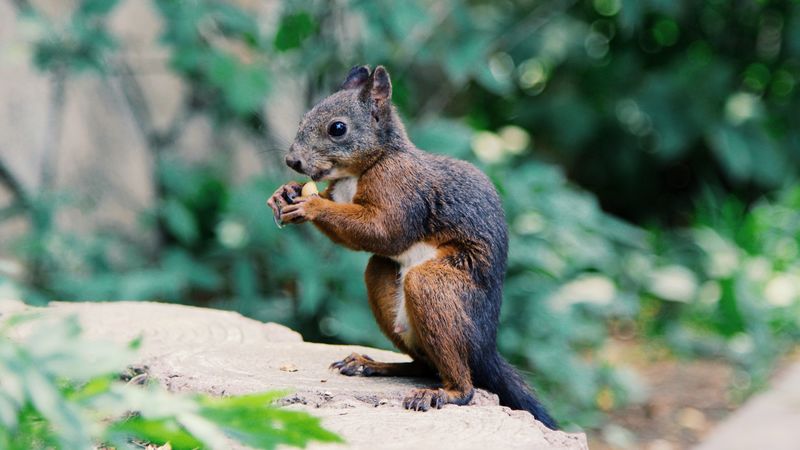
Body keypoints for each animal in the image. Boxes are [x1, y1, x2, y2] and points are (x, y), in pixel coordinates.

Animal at [267, 65, 557, 429]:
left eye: (338, 128)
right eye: (303, 118)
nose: (292, 161)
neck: (364, 169)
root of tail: (486, 348)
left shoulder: (401, 189)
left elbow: (384, 231)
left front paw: (311, 205)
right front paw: (285, 192)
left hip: (438, 287)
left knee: (462, 382)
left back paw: (444, 393)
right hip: (384, 282)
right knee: (422, 363)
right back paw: (370, 364)